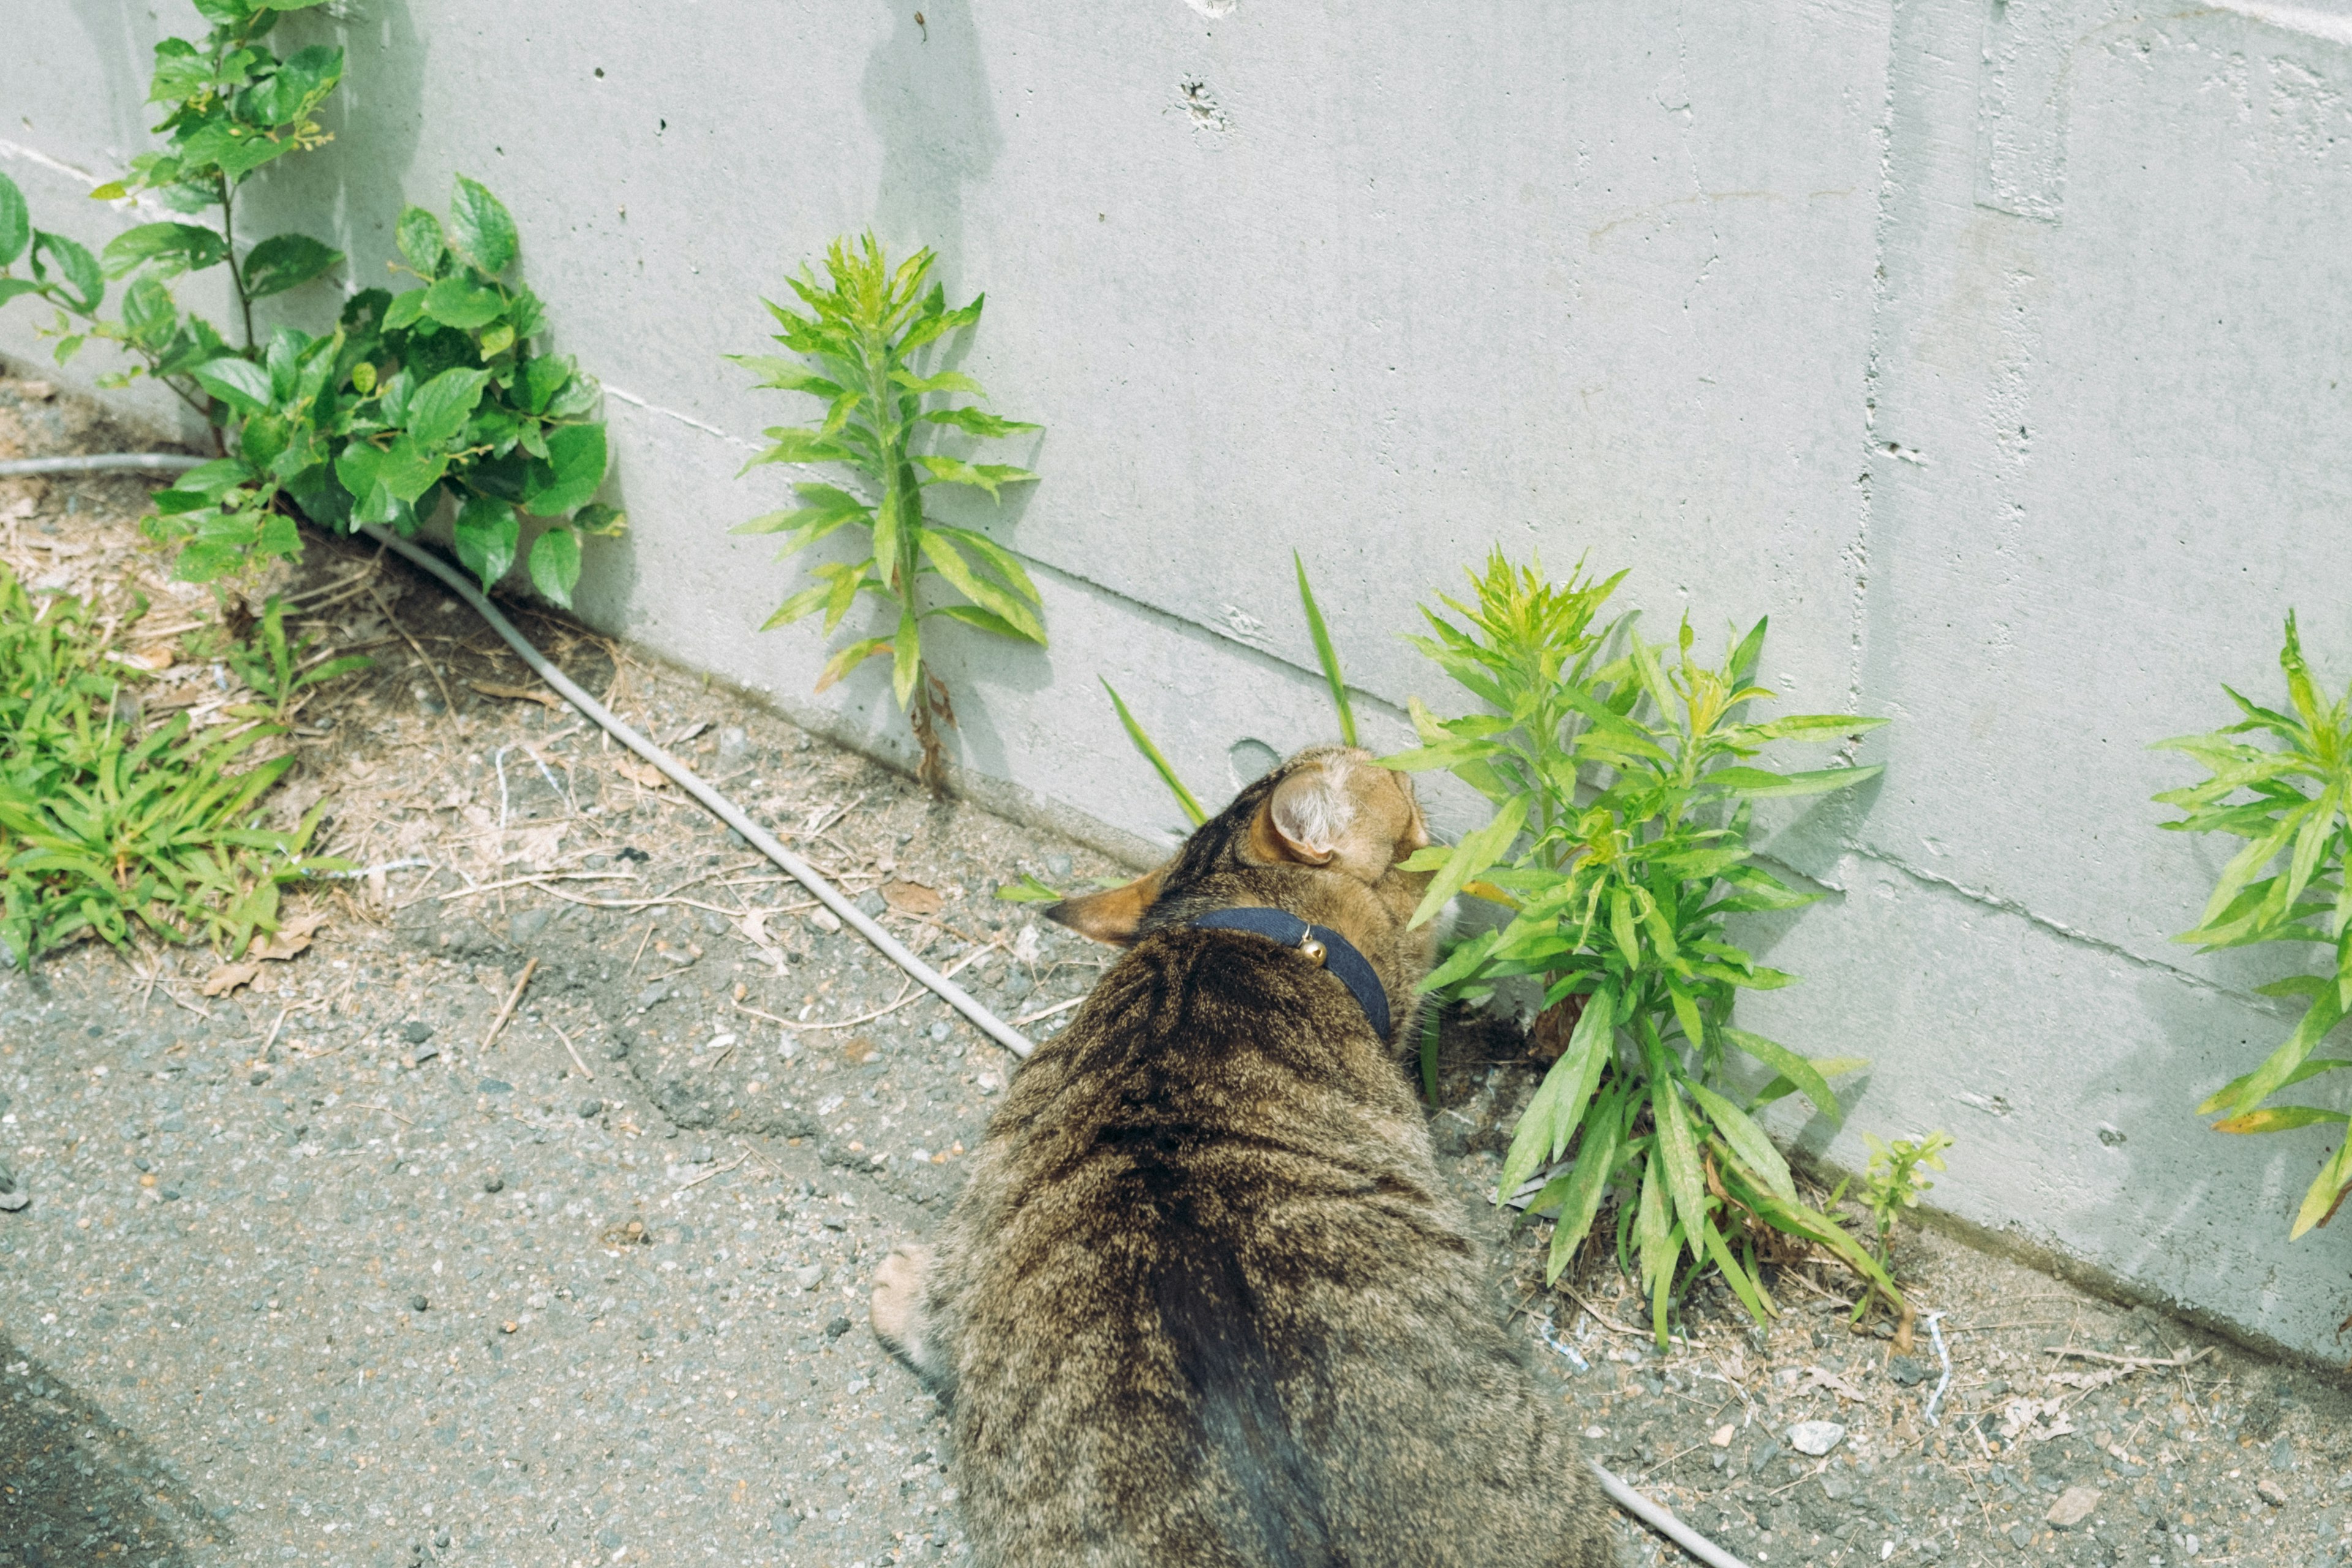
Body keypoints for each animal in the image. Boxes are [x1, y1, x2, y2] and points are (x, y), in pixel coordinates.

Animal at [875, 747, 1627, 1568]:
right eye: (1400, 795)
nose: (1394, 760)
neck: (1234, 930)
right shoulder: (974, 1230)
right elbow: (931, 1306)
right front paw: (896, 1285)